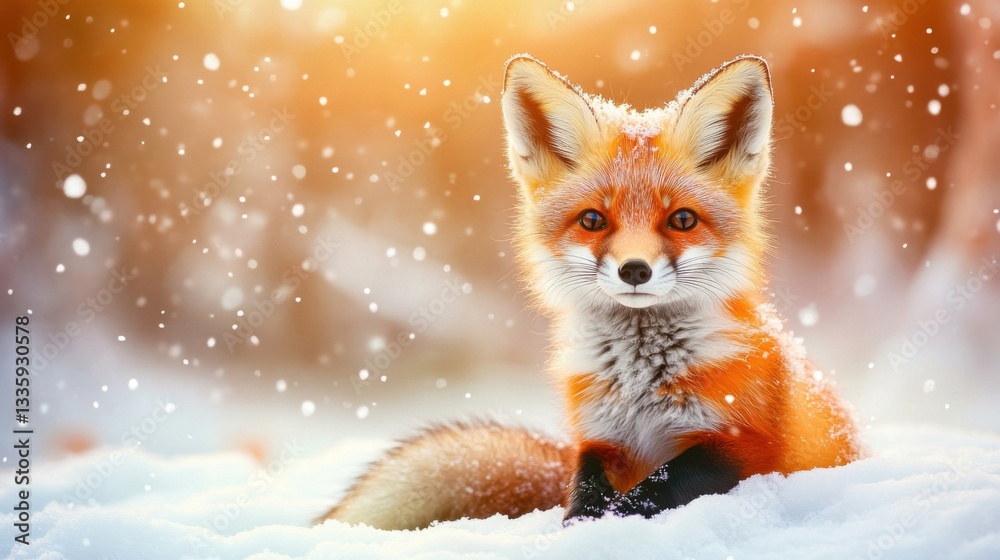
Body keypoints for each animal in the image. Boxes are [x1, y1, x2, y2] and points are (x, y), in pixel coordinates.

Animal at [319, 54, 863, 530]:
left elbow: (657, 486)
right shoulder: (600, 441)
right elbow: (586, 490)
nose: (634, 269)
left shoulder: (746, 443)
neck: (640, 387)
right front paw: (579, 524)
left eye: (682, 220)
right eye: (593, 221)